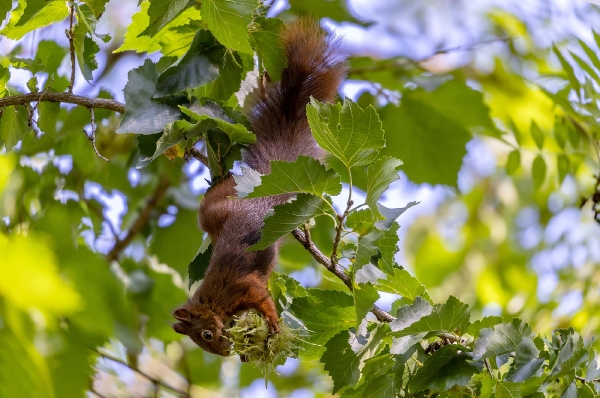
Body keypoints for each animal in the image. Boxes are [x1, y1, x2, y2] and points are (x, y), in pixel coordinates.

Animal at [171, 18, 346, 358]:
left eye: (206, 335)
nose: (226, 352)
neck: (215, 301)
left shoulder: (242, 287)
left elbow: (263, 299)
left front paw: (274, 324)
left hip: (216, 210)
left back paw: (223, 175)